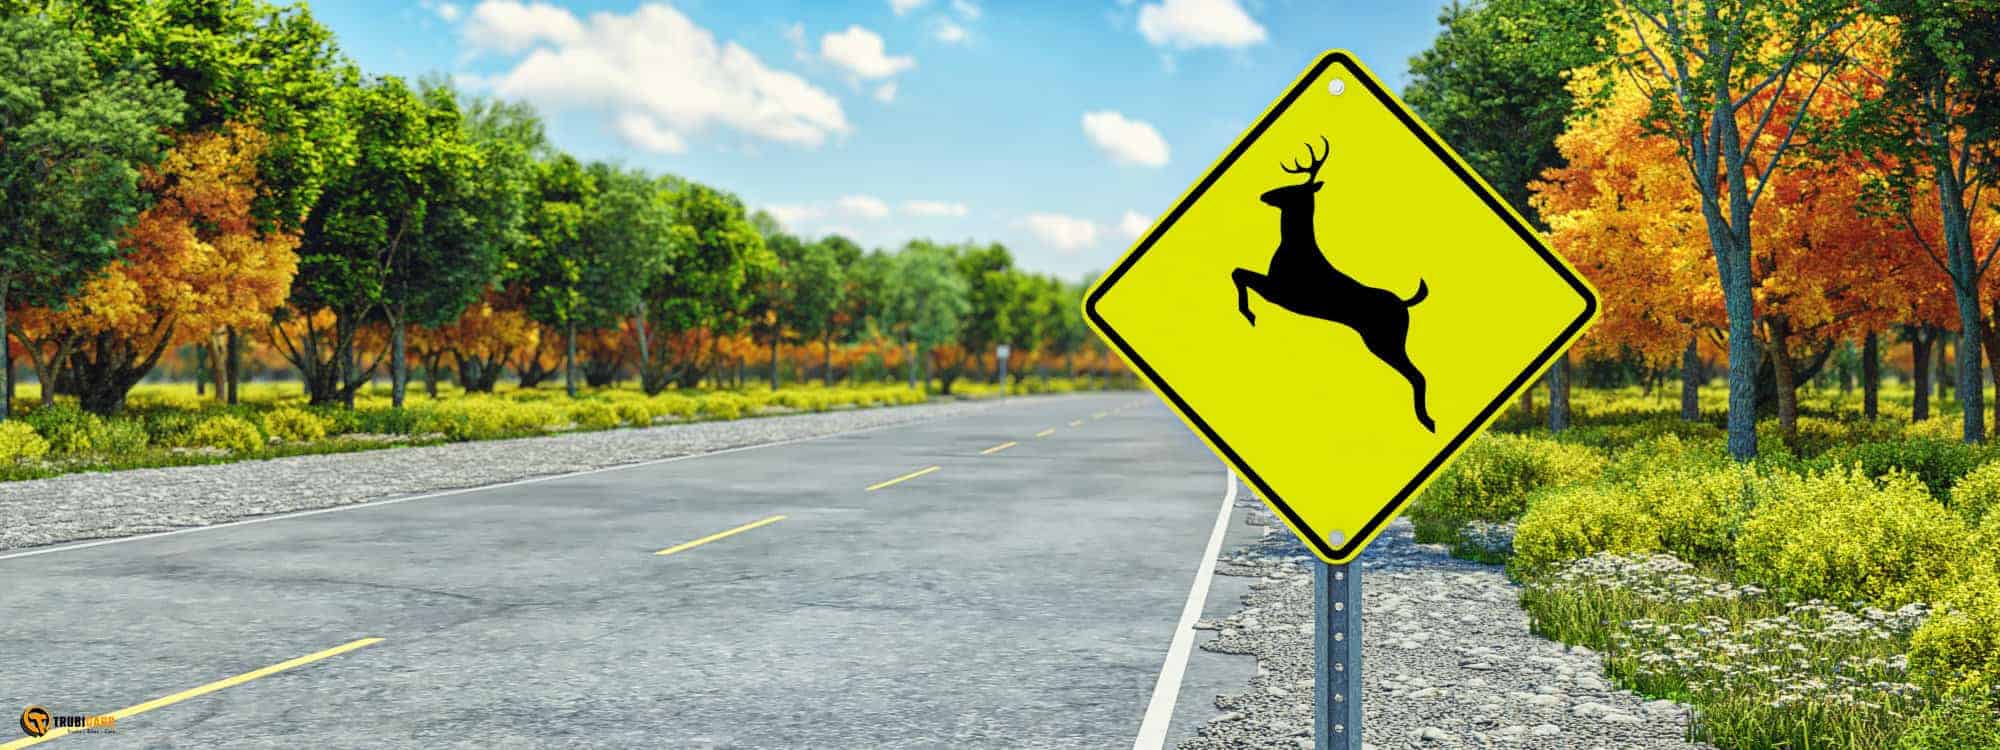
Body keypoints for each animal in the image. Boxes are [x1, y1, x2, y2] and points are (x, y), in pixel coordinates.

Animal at [1231, 136, 1436, 433]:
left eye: (1293, 189)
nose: (1264, 195)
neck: (1295, 247)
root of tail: (1405, 303)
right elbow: (1239, 272)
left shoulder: (1280, 292)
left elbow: (1239, 273)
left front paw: (1249, 314)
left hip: (1385, 341)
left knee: (1417, 375)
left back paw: (1427, 421)